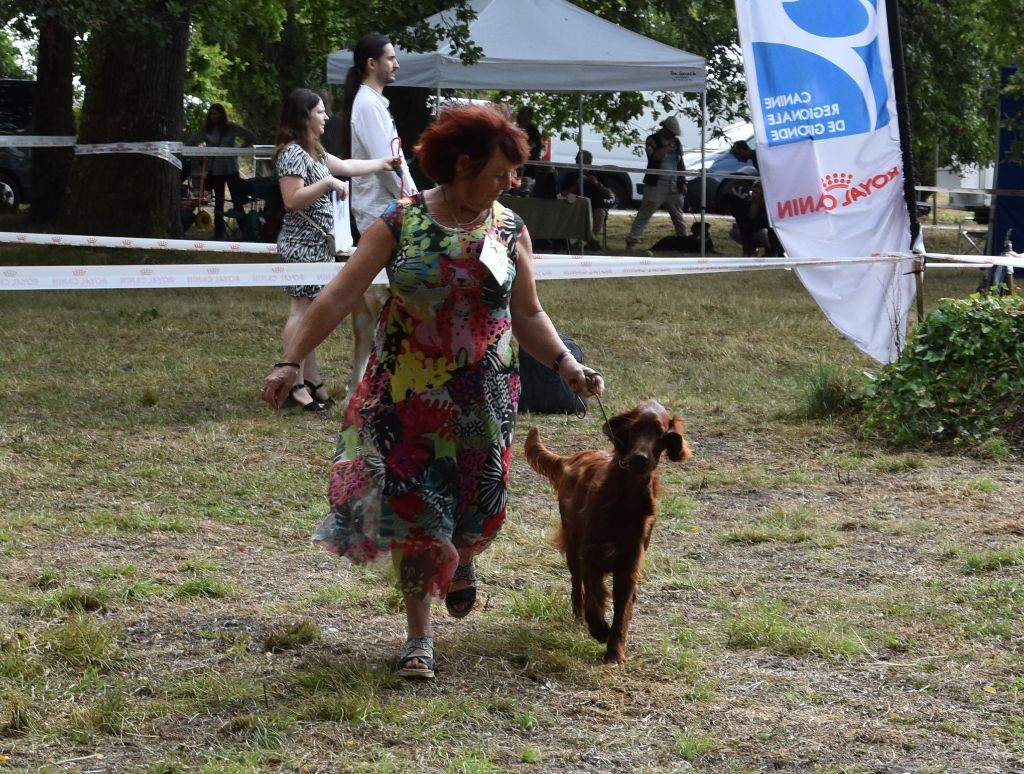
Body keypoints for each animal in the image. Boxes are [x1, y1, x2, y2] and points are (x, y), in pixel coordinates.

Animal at [524, 400, 692, 663]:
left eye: (659, 432)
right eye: (633, 429)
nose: (640, 458)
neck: (625, 497)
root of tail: (573, 458)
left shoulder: (629, 563)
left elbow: (622, 611)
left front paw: (614, 652)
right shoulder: (590, 555)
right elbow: (594, 600)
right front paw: (600, 630)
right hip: (572, 546)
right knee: (577, 584)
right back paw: (579, 615)